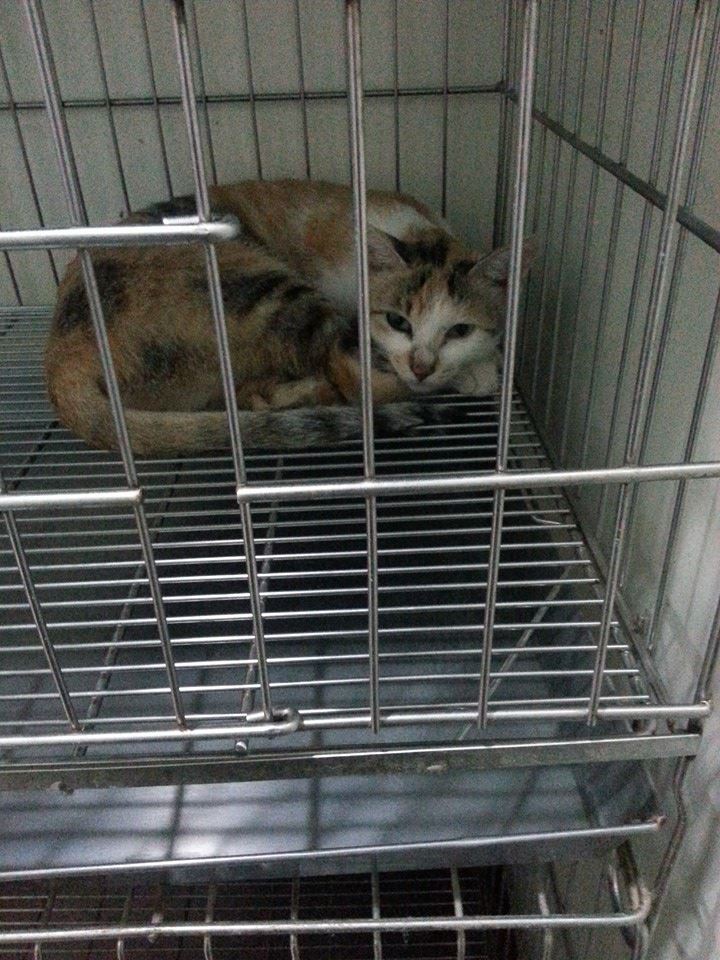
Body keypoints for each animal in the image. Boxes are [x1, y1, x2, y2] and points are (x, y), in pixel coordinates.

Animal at [45, 180, 533, 457]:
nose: (422, 366)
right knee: (352, 378)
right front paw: (477, 371)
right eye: (399, 322)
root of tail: (60, 361)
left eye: (459, 330)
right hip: (260, 287)